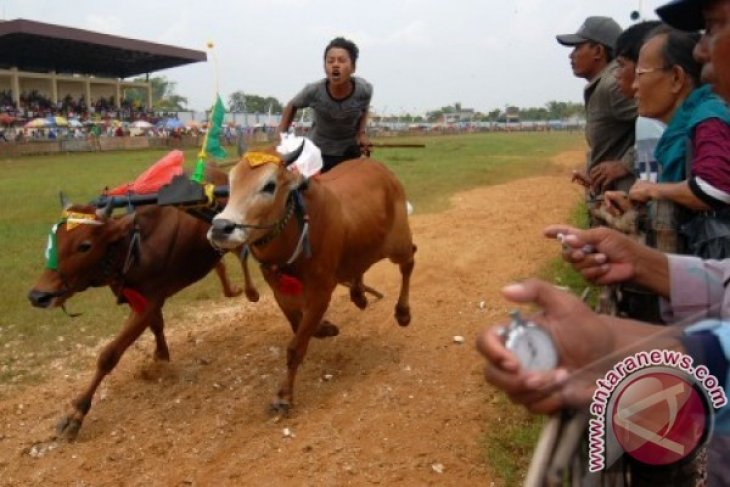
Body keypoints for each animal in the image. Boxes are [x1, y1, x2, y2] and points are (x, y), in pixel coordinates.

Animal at [27, 169, 258, 442]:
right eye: (53, 239)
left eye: (85, 245)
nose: (39, 295)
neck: (134, 247)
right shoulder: (143, 299)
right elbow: (157, 326)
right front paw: (161, 357)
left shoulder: (148, 302)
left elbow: (108, 355)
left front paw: (76, 413)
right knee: (222, 262)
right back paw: (232, 289)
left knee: (242, 253)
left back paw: (251, 291)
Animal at [209, 151, 416, 414]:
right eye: (231, 183)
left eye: (269, 185)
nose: (220, 228)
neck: (294, 231)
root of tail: (381, 169)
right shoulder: (281, 293)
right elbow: (298, 327)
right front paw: (325, 328)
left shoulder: (321, 292)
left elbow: (295, 346)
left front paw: (284, 396)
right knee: (360, 266)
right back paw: (358, 294)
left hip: (398, 244)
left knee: (409, 261)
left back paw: (403, 312)